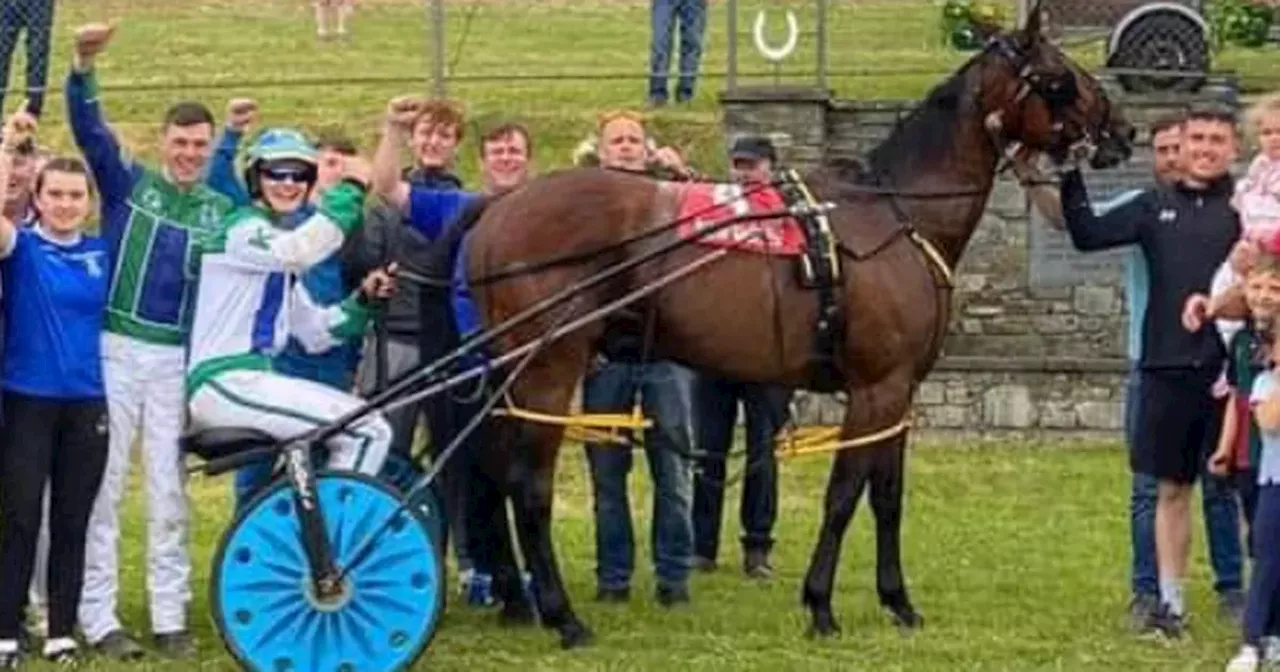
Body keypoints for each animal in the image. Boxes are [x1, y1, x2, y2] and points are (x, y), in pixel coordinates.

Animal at [458, 11, 1131, 650]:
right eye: (1059, 76)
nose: (1122, 130)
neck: (894, 213)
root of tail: (500, 208)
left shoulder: (900, 394)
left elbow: (887, 497)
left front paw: (897, 601)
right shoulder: (876, 388)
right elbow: (844, 495)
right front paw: (821, 605)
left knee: (492, 477)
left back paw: (518, 601)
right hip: (547, 371)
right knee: (529, 488)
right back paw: (562, 615)